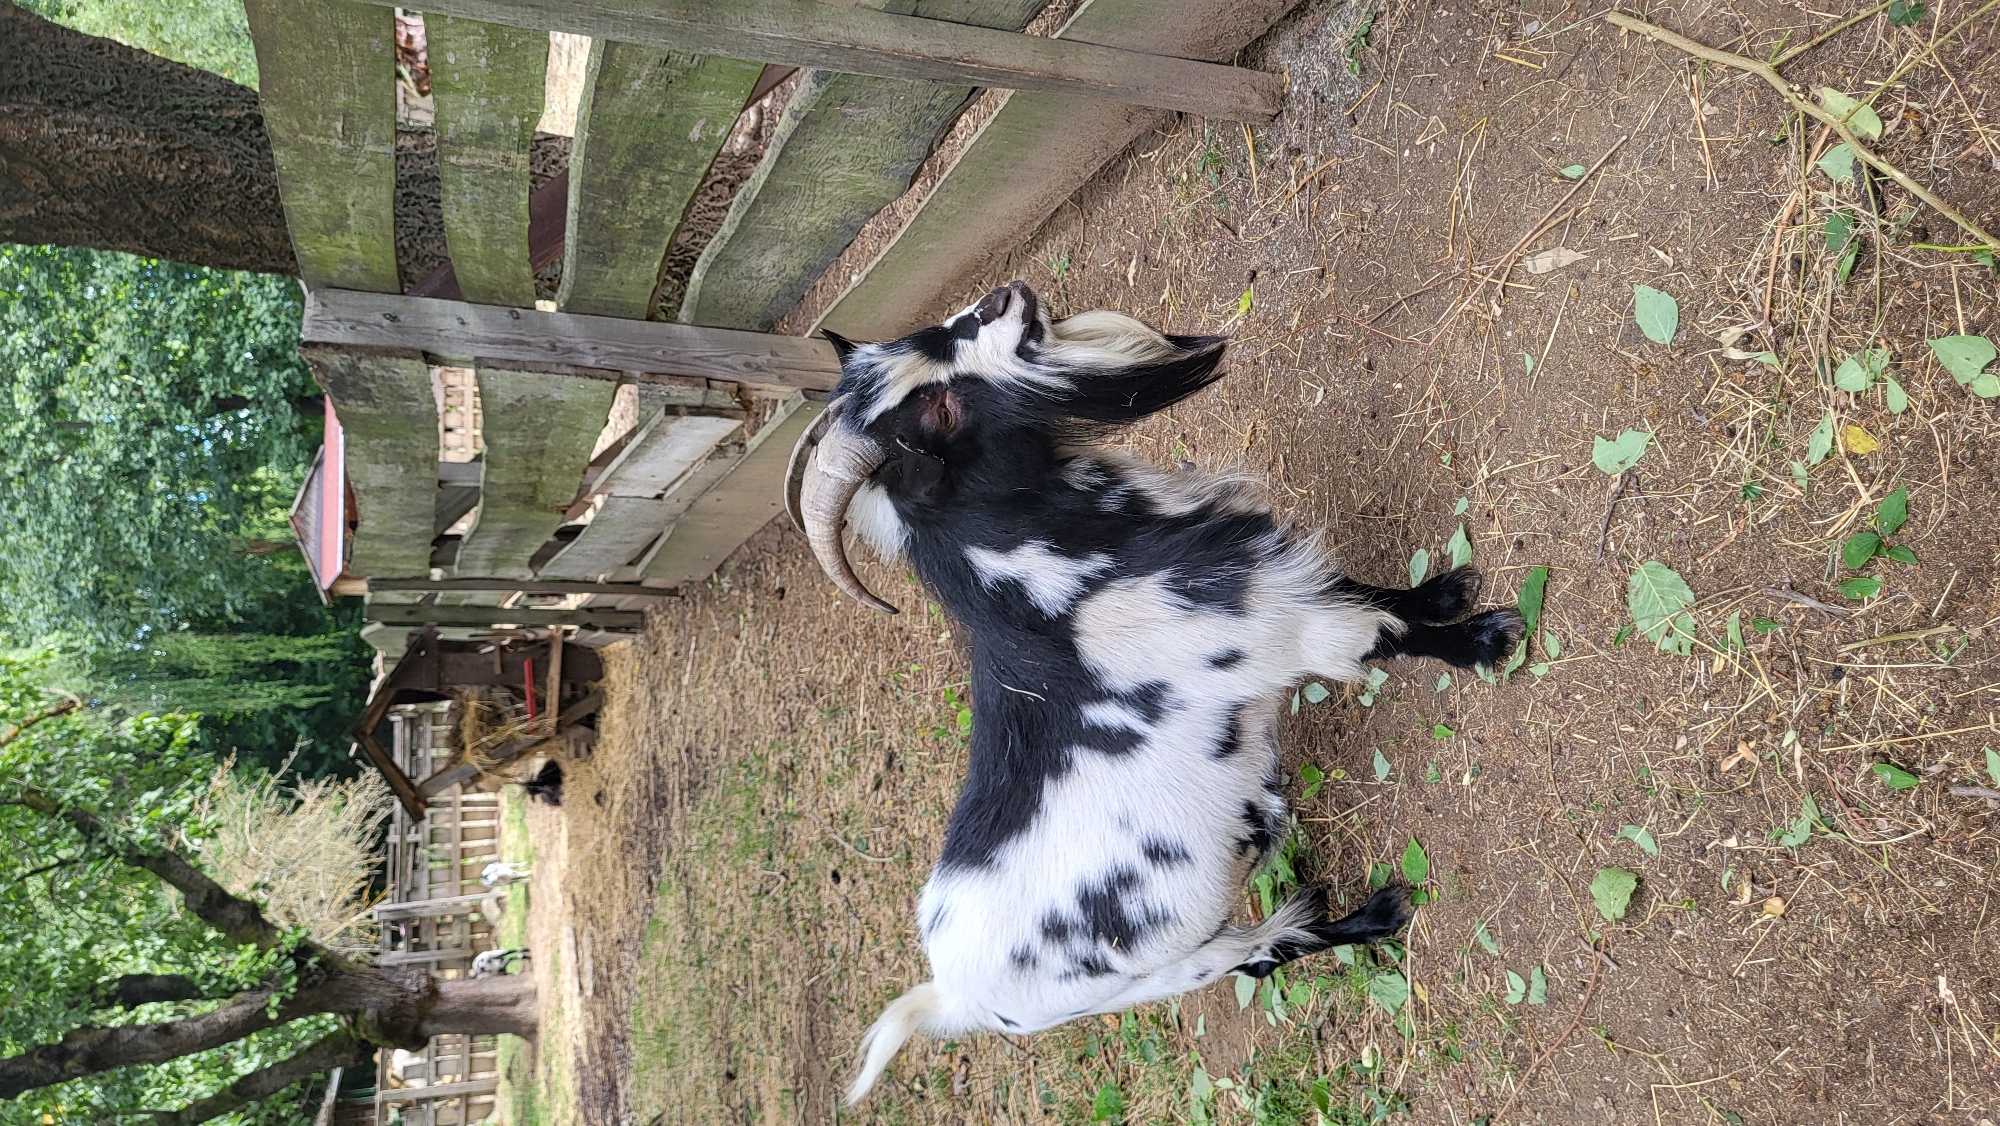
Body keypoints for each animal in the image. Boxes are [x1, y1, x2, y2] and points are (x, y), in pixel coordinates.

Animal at [785, 282, 1523, 1104]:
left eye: (927, 337)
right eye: (938, 414)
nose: (1003, 298)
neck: (1063, 590)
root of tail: (949, 997)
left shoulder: (1283, 583)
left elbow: (1367, 590)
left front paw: (1445, 590)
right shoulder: (1298, 634)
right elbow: (1386, 635)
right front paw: (1486, 640)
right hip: (1163, 971)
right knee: (1259, 957)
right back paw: (1376, 915)